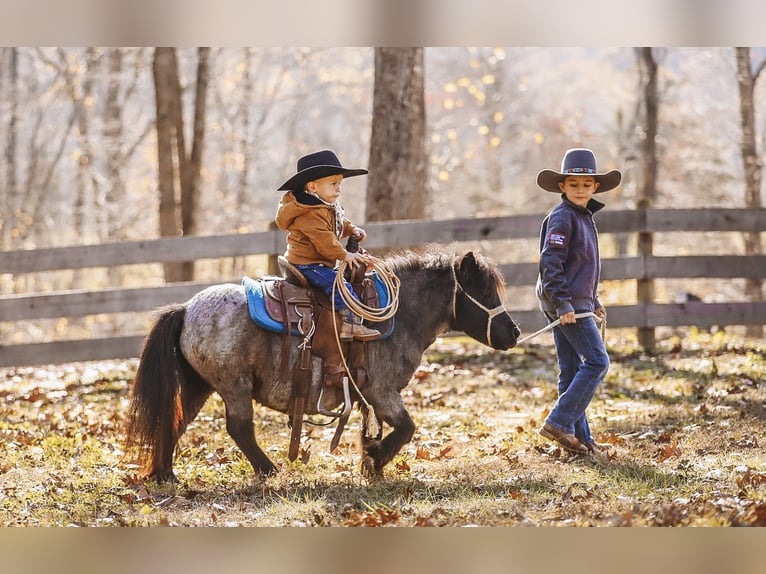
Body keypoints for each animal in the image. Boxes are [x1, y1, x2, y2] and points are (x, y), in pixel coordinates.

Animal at [126, 250, 520, 484]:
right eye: (485, 293)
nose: (513, 333)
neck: (400, 315)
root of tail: (185, 308)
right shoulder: (383, 391)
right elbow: (406, 428)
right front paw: (377, 459)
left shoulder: (368, 396)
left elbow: (373, 430)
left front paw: (370, 463)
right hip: (233, 386)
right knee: (239, 428)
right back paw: (269, 469)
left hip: (200, 386)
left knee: (174, 422)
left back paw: (165, 474)